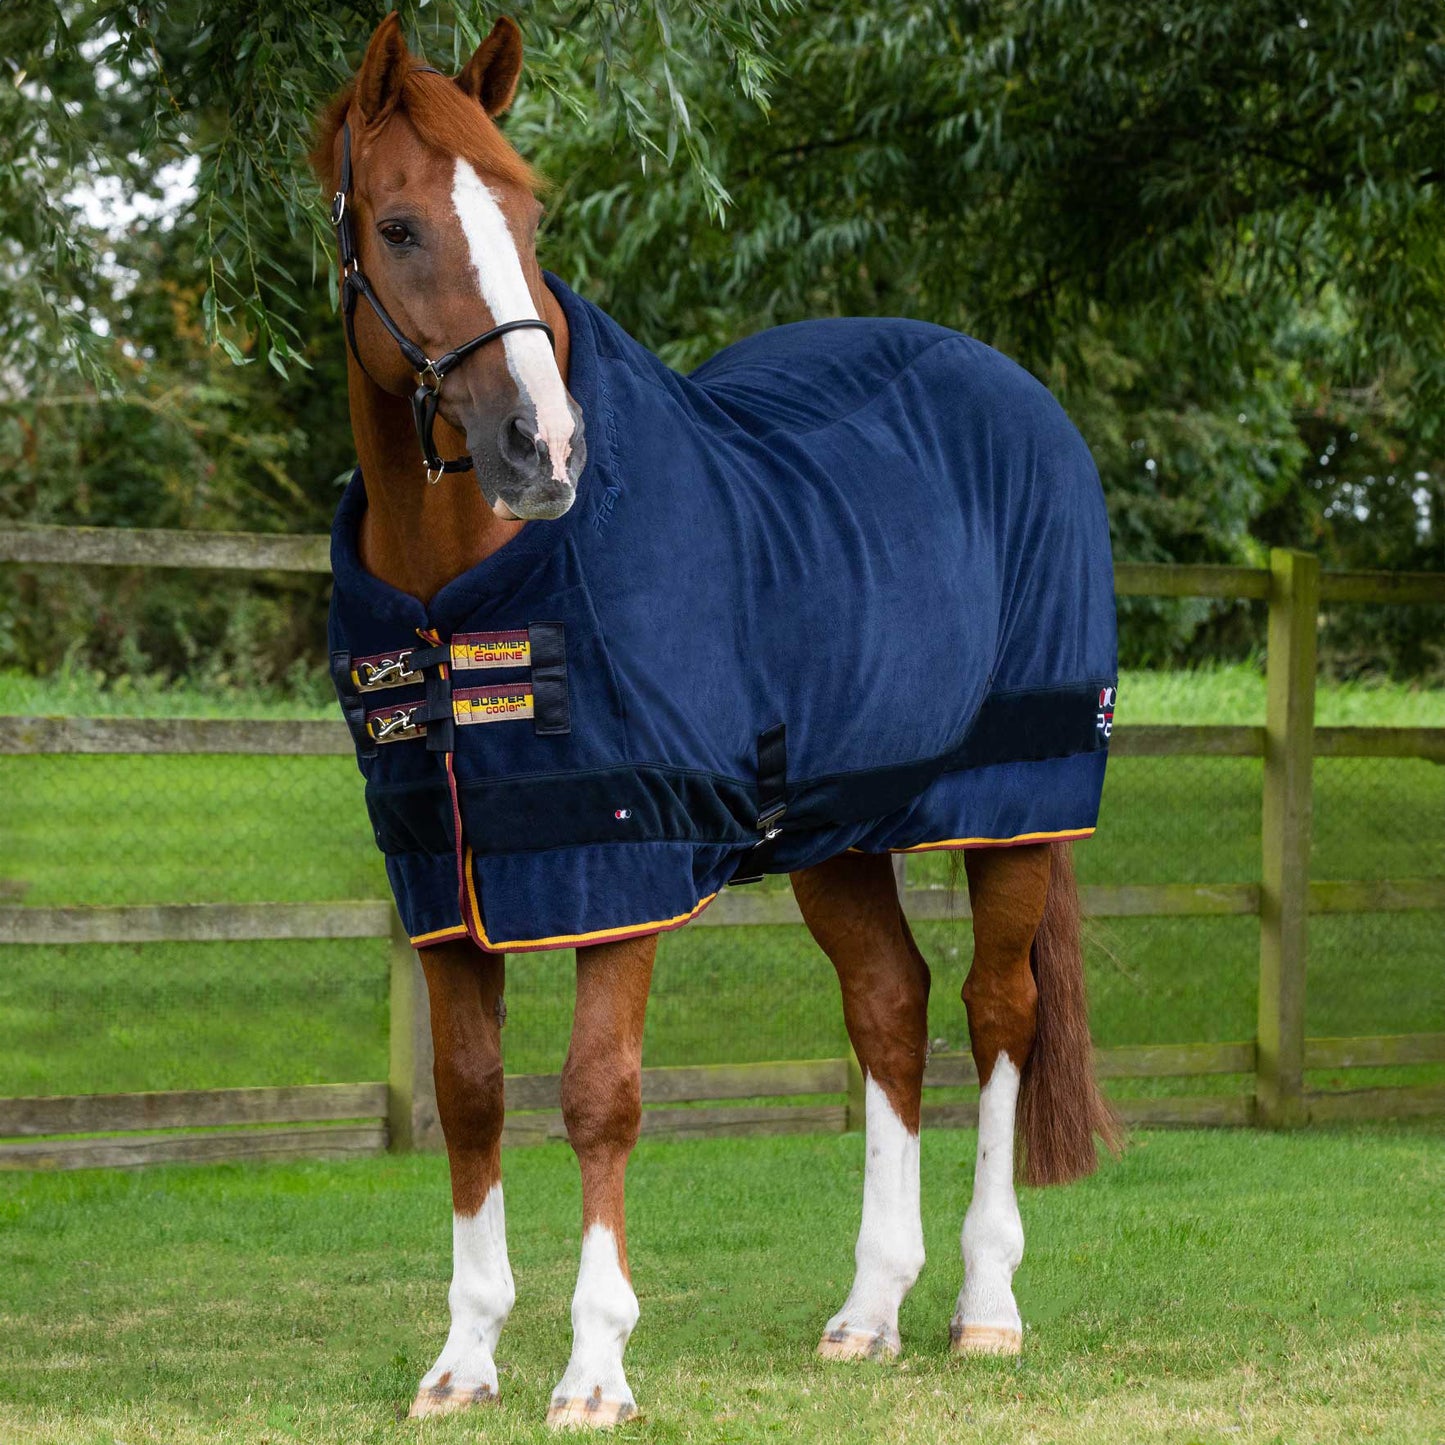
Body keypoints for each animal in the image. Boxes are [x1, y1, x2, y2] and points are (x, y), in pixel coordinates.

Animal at [312, 13, 1120, 1428]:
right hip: (840, 829)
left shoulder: (621, 859)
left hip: (1016, 807)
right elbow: (469, 1097)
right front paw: (463, 1359)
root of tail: (1015, 393)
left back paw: (985, 1304)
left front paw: (592, 1369)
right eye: (400, 226)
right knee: (888, 1004)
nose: (542, 446)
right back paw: (867, 1310)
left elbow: (598, 1096)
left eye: (527, 210)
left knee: (995, 1011)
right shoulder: (446, 874)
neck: (464, 585)